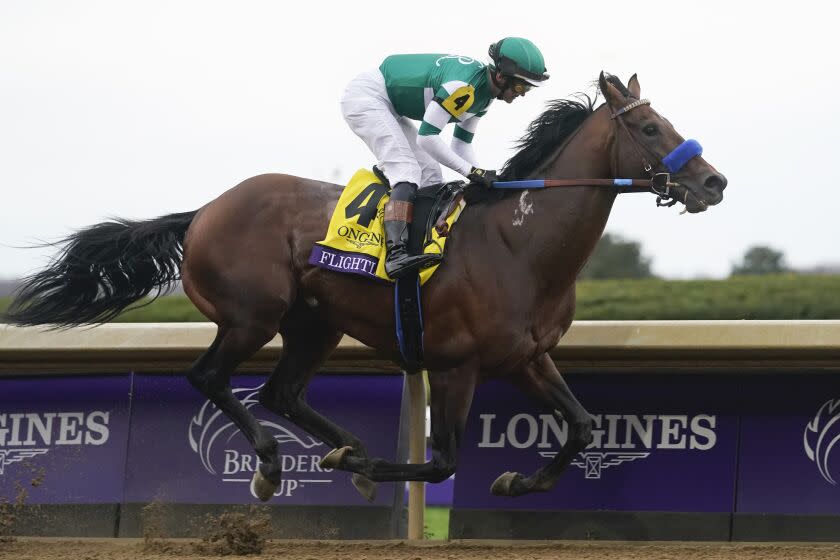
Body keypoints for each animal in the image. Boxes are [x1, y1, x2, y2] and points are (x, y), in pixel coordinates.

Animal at [4, 71, 728, 504]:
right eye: (650, 128)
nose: (713, 182)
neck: (519, 243)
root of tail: (204, 211)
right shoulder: (457, 363)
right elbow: (440, 462)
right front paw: (375, 469)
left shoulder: (526, 355)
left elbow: (580, 425)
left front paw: (516, 479)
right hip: (252, 315)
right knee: (211, 378)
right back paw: (275, 465)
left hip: (314, 323)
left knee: (280, 392)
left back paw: (342, 447)